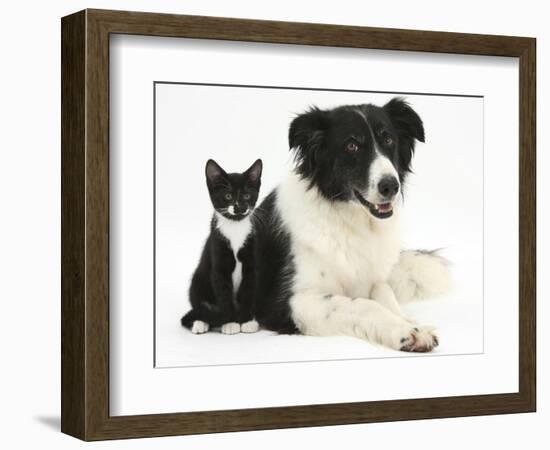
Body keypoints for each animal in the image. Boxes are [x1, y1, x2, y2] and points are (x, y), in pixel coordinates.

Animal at [182, 158, 264, 334]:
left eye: (247, 195)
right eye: (228, 196)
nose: (240, 207)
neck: (235, 228)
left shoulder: (251, 265)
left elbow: (248, 292)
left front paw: (246, 321)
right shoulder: (219, 262)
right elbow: (224, 295)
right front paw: (230, 322)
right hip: (198, 280)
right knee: (199, 304)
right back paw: (200, 323)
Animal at [254, 97, 452, 352]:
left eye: (388, 139)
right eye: (351, 146)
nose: (391, 186)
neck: (351, 222)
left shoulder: (374, 279)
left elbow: (385, 294)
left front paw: (410, 323)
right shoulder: (292, 301)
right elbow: (364, 305)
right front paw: (405, 332)